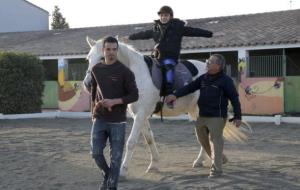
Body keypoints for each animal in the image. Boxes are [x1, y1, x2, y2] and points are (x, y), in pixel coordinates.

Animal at [82, 36, 248, 177]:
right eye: (88, 58)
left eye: (103, 57)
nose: (88, 84)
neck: (137, 74)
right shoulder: (140, 115)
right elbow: (149, 139)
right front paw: (154, 164)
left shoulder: (141, 114)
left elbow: (131, 142)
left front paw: (123, 170)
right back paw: (208, 159)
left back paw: (206, 160)